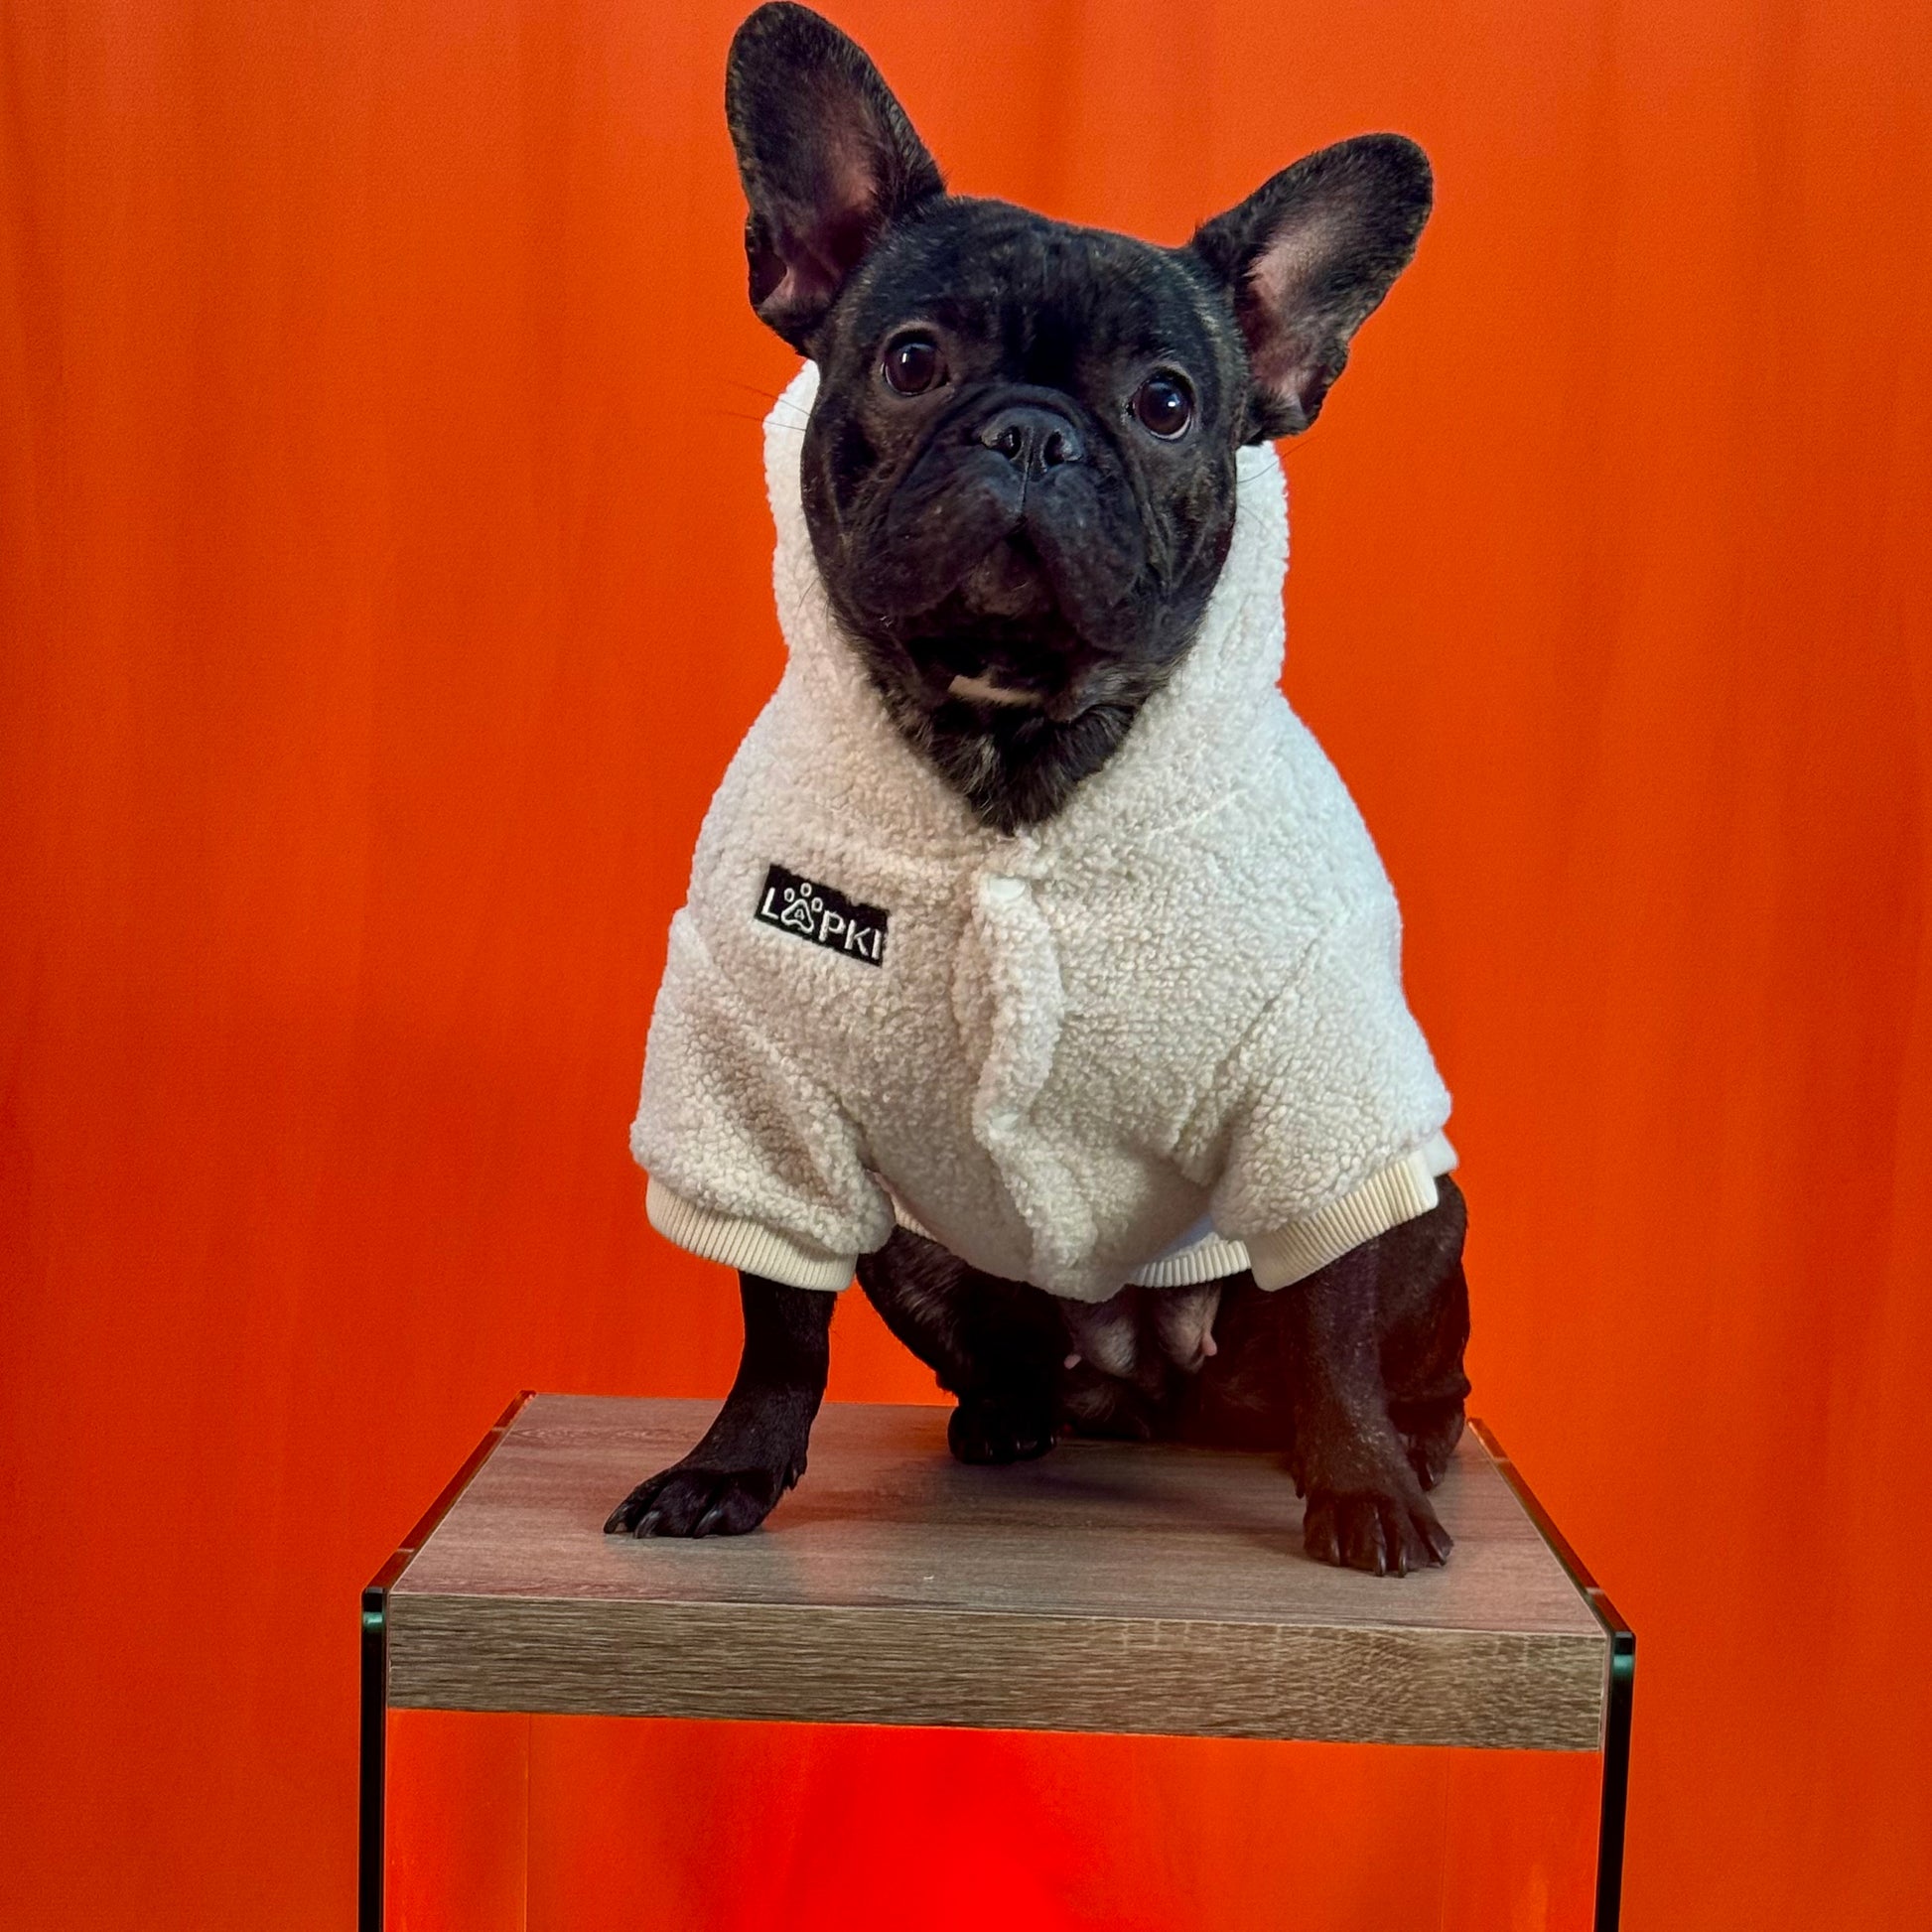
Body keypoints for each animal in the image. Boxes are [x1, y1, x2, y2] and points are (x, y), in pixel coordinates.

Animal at [606, 2, 1469, 1577]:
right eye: (909, 359)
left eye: (1168, 403)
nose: (1030, 431)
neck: (1009, 744)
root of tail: (1153, 1394)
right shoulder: (759, 1087)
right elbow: (778, 1321)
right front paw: (727, 1470)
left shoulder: (1318, 1095)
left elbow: (1331, 1322)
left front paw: (1366, 1488)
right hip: (918, 1247)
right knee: (1004, 1357)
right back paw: (1006, 1420)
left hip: (1422, 1199)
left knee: (1390, 1346)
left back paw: (1408, 1446)